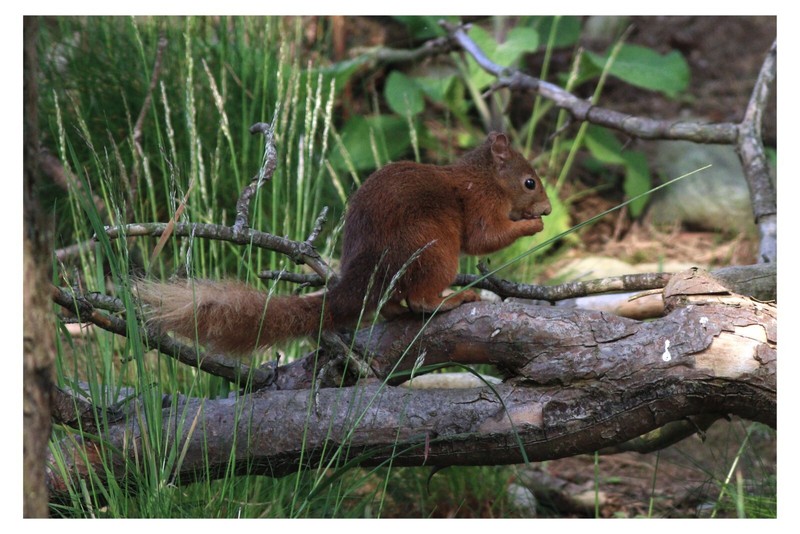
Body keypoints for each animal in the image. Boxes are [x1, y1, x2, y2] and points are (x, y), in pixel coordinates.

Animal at [139, 132, 551, 355]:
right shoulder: (480, 204)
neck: (484, 178)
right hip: (435, 250)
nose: (548, 208)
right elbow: (485, 238)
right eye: (530, 182)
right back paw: (452, 299)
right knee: (419, 299)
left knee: (392, 304)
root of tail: (366, 271)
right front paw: (531, 226)